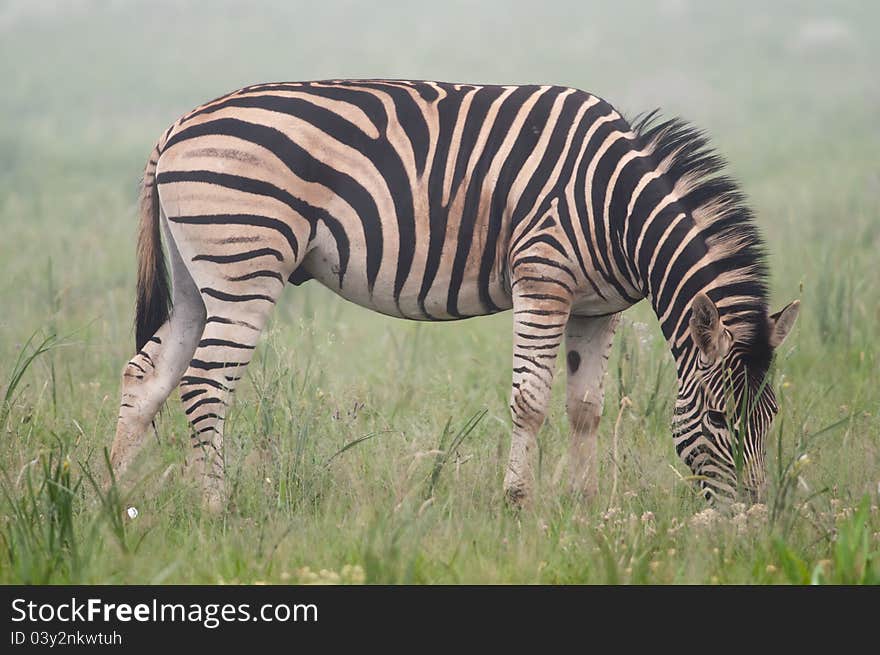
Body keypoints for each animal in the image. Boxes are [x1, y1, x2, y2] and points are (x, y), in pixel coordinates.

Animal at [108, 79, 796, 510]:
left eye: (771, 418)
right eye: (718, 419)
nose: (752, 518)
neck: (617, 209)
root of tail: (179, 124)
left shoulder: (595, 309)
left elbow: (586, 408)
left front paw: (584, 506)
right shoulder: (542, 278)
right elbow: (530, 402)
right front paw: (518, 503)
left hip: (200, 280)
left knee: (147, 373)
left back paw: (114, 498)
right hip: (244, 268)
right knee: (204, 383)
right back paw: (215, 506)